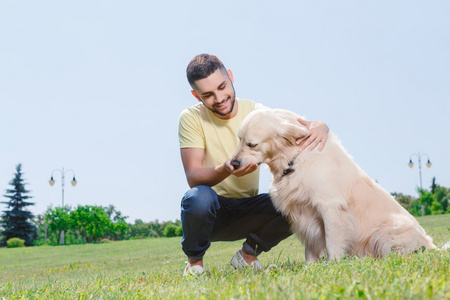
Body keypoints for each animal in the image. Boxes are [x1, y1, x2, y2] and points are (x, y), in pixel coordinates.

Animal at [232, 108, 436, 262]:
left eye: (252, 144)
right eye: (239, 140)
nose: (233, 164)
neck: (294, 157)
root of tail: (433, 247)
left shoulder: (331, 208)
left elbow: (332, 242)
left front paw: (333, 264)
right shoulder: (302, 212)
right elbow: (310, 248)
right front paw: (310, 267)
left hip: (388, 230)